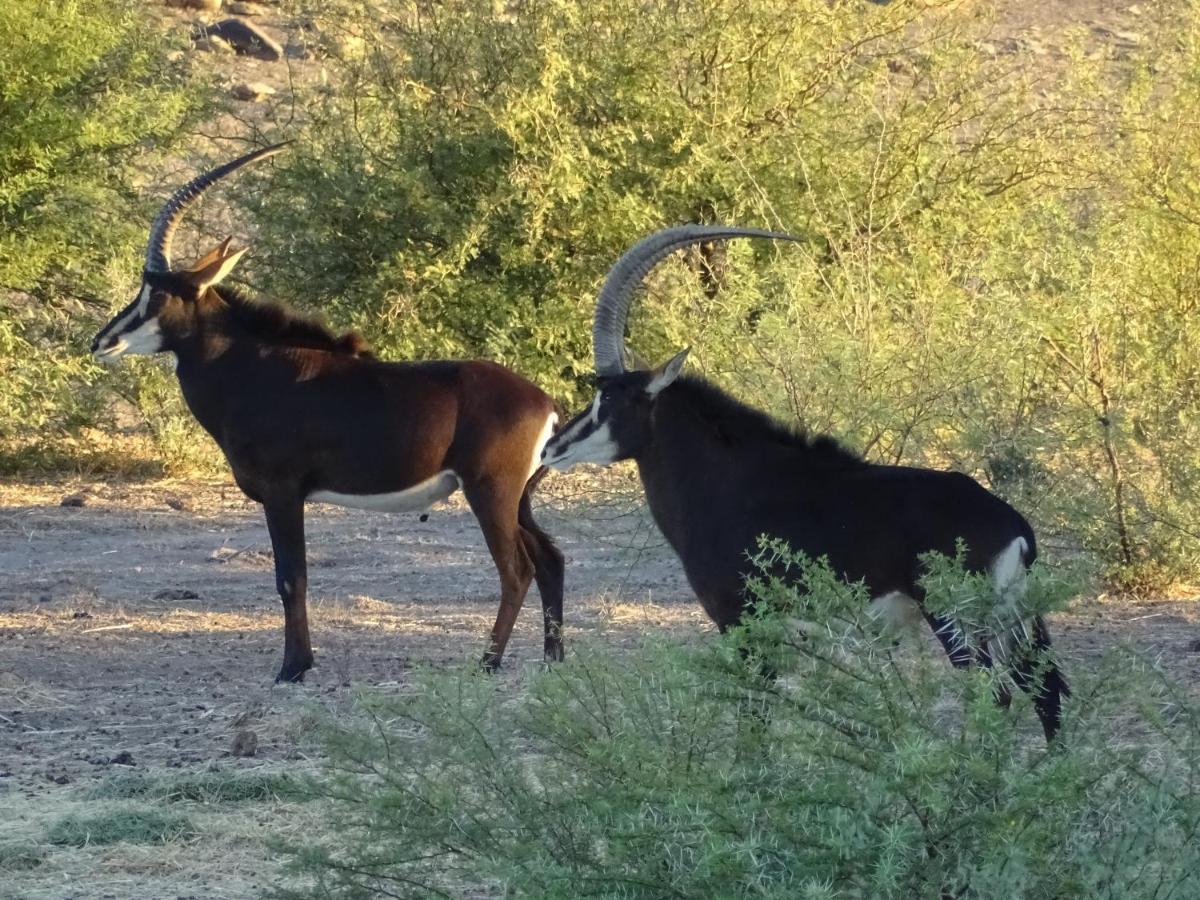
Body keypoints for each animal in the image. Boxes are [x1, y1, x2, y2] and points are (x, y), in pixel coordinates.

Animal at [88, 146, 566, 681]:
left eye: (158, 294)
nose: (102, 342)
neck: (250, 365)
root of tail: (545, 403)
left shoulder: (282, 492)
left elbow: (290, 577)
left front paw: (293, 667)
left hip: (491, 493)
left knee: (517, 569)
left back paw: (488, 661)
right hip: (519, 499)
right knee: (550, 560)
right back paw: (553, 657)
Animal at [544, 226, 1070, 748]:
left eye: (609, 398)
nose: (552, 447)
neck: (728, 480)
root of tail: (1016, 527)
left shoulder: (742, 620)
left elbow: (755, 715)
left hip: (957, 619)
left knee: (998, 694)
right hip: (1015, 618)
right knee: (1046, 690)